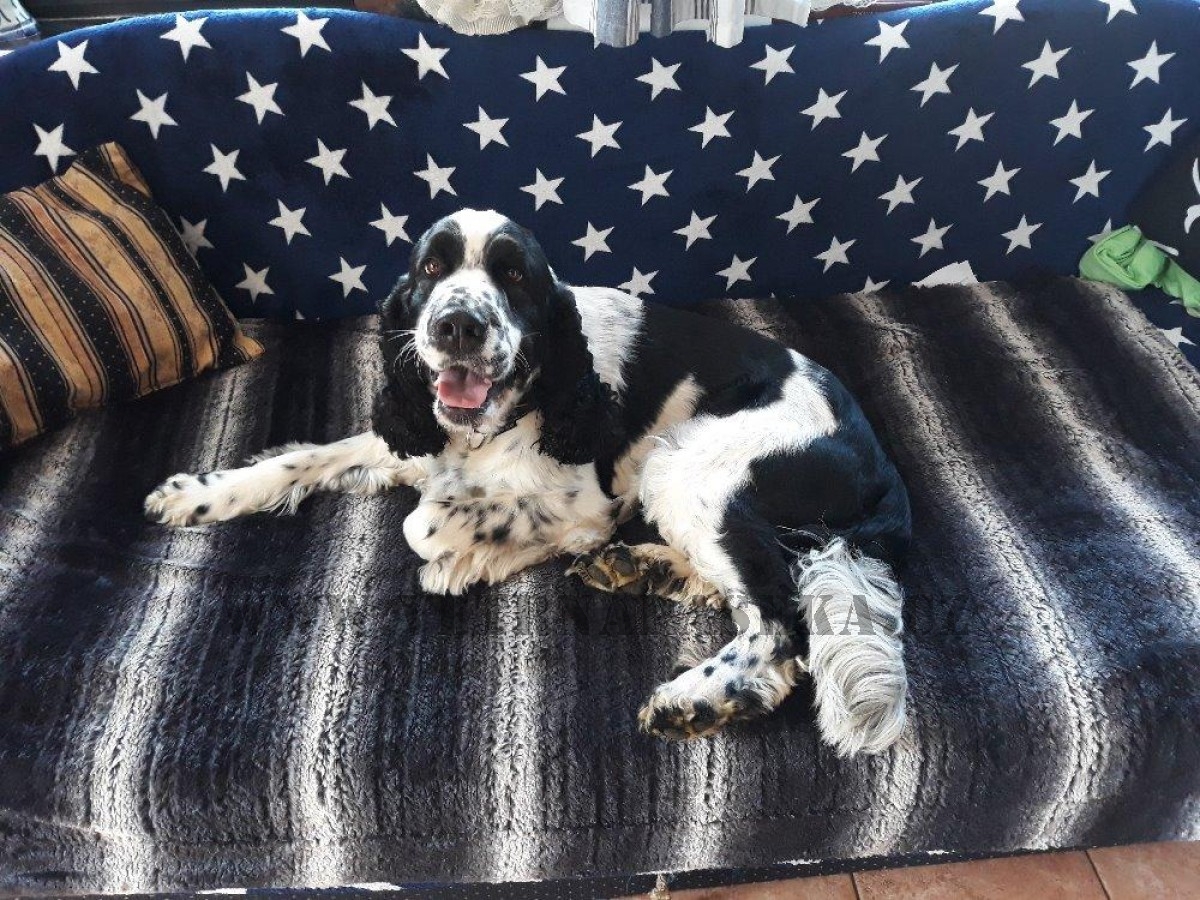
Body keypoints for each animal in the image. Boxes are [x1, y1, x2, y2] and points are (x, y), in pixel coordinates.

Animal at [145, 208, 911, 754]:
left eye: (515, 277)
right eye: (431, 266)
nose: (457, 325)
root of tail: (881, 464)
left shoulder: (587, 499)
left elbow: (425, 523)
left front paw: (470, 559)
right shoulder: (411, 439)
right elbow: (303, 459)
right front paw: (196, 494)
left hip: (686, 463)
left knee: (778, 613)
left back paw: (698, 696)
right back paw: (644, 568)